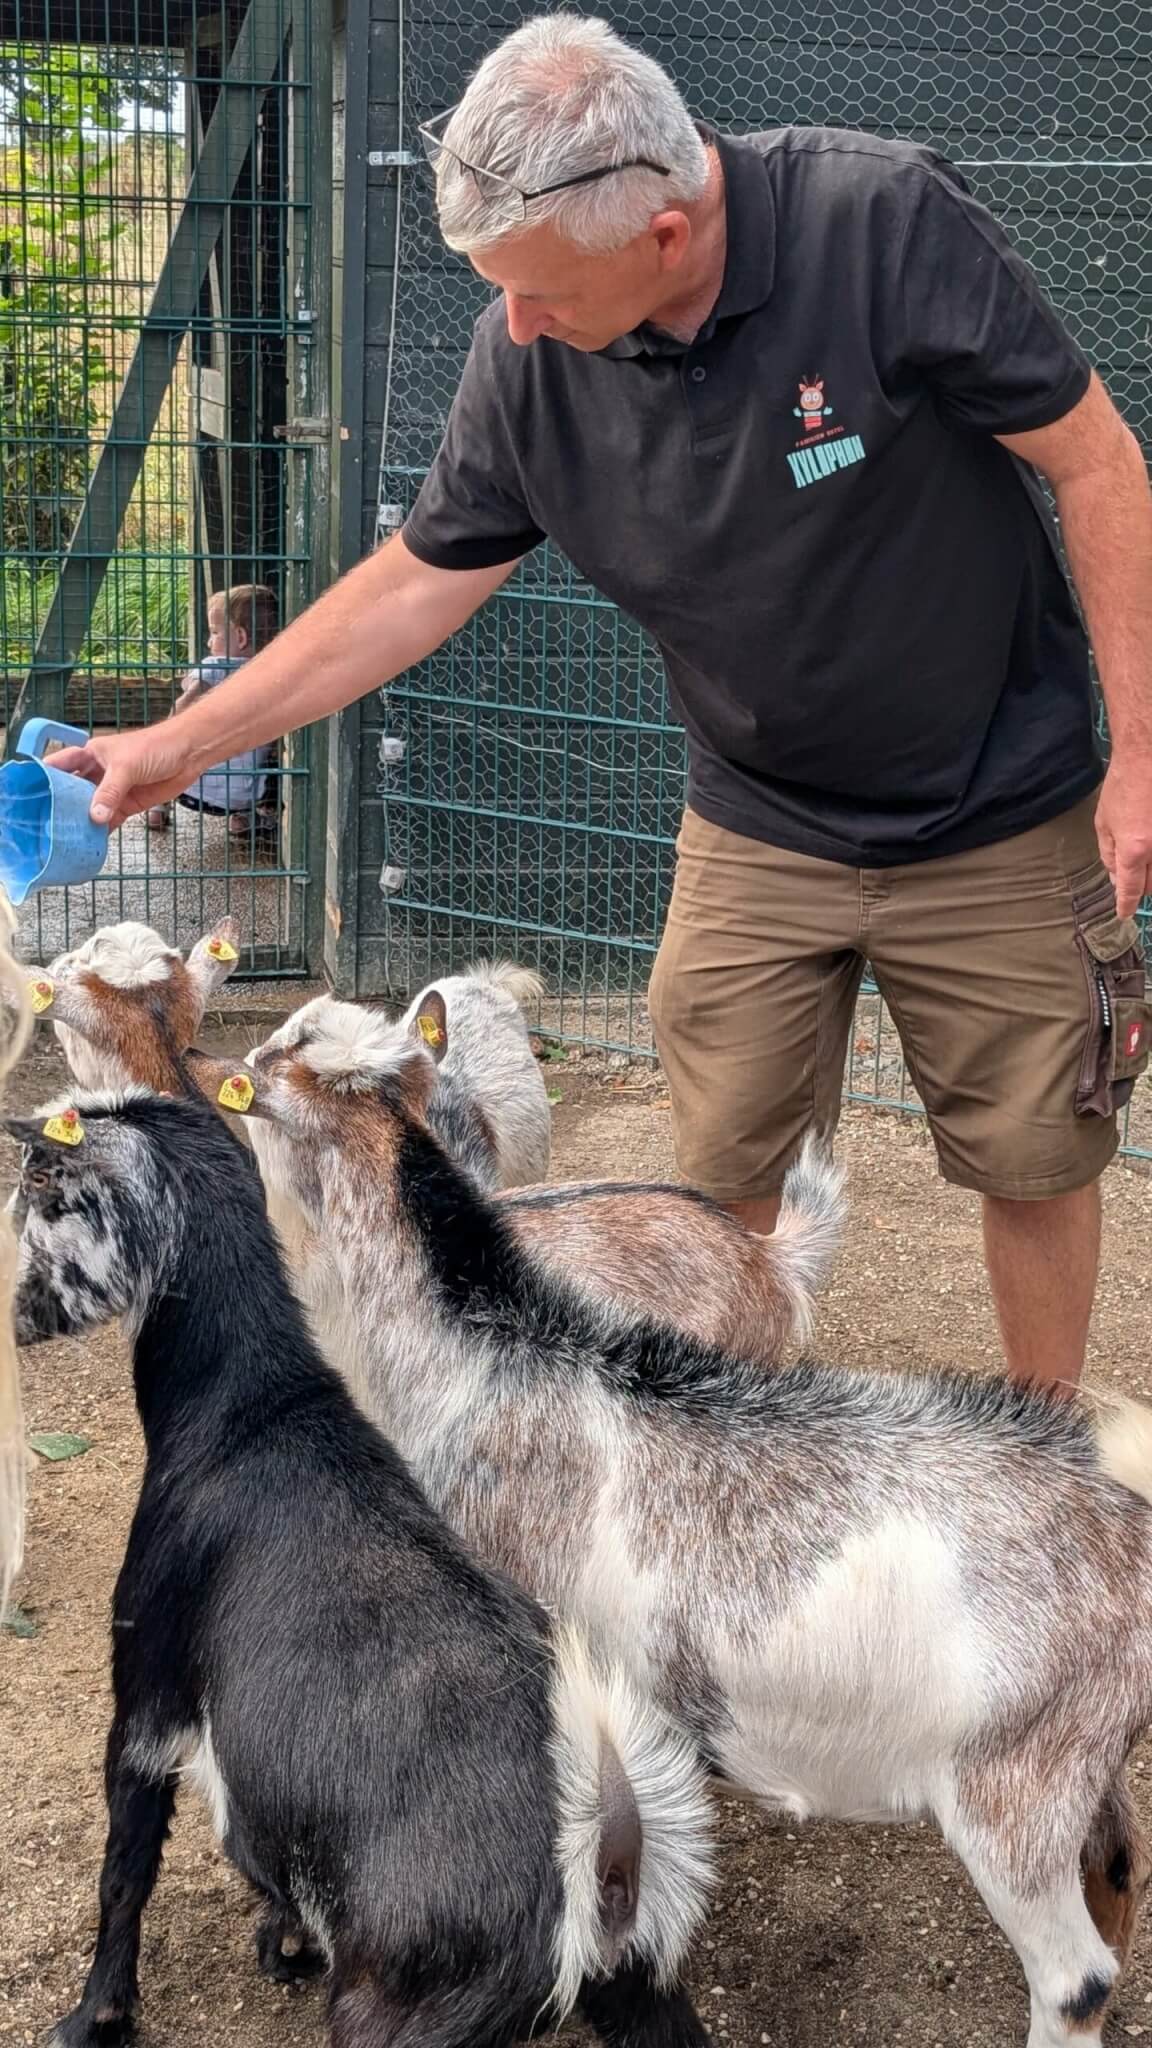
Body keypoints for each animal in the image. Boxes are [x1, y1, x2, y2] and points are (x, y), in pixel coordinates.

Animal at [6, 1084, 713, 2048]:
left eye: (41, 1186)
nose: (12, 1314)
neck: (250, 1416)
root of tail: (610, 1842)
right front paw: (284, 1942)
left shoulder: (149, 1689)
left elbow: (126, 1866)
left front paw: (93, 2016)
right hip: (644, 1995)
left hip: (396, 2011)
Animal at [207, 1007, 1152, 2048]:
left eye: (272, 1065)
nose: (227, 1063)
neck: (484, 1355)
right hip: (1084, 1768)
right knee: (1119, 1869)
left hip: (1012, 1791)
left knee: (1076, 1978)